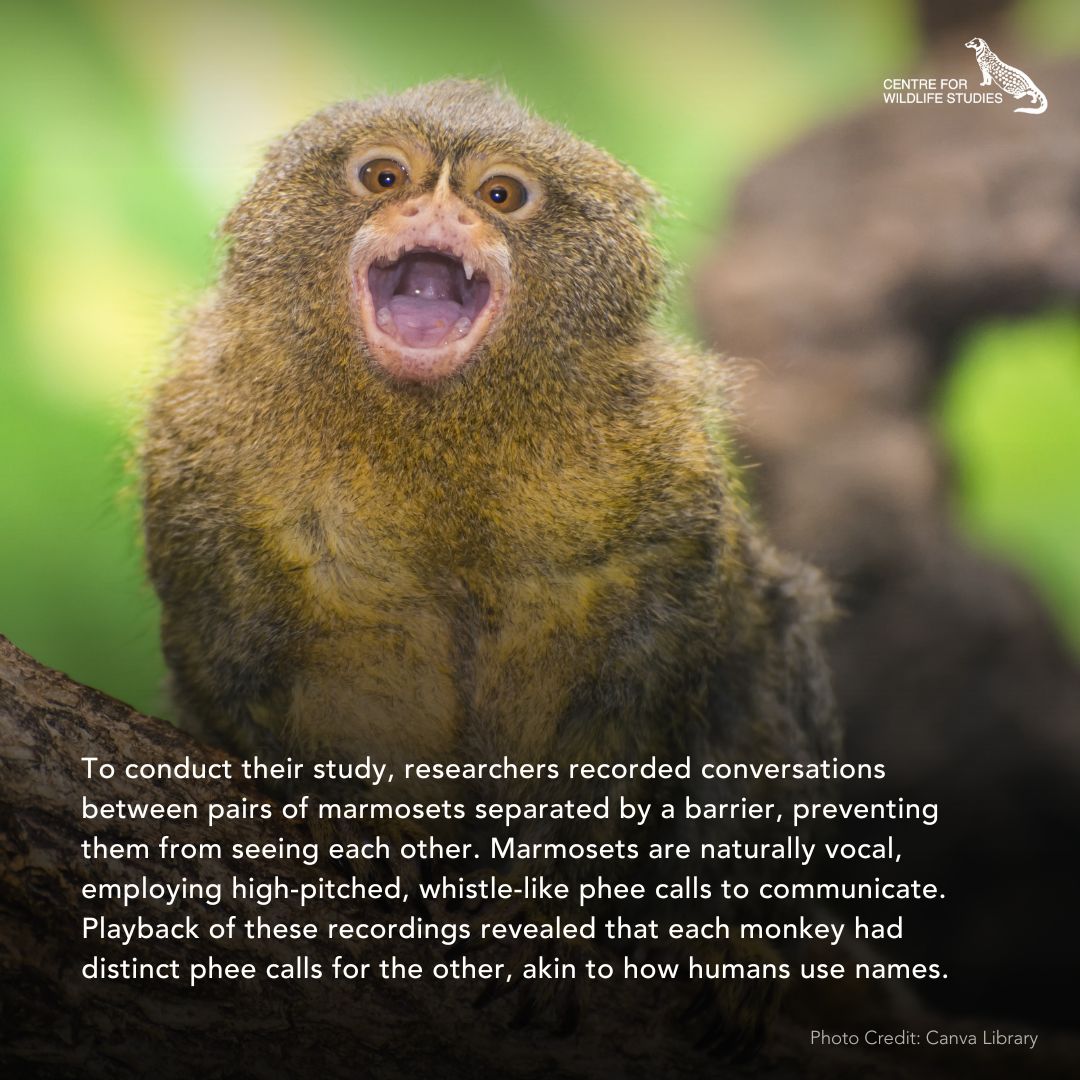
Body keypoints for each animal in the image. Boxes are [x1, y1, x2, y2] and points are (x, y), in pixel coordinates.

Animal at [140, 79, 837, 1055]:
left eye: (502, 195)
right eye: (383, 176)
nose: (436, 211)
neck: (436, 431)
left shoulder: (662, 472)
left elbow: (624, 705)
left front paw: (539, 921)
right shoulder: (204, 444)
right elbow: (249, 677)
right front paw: (379, 840)